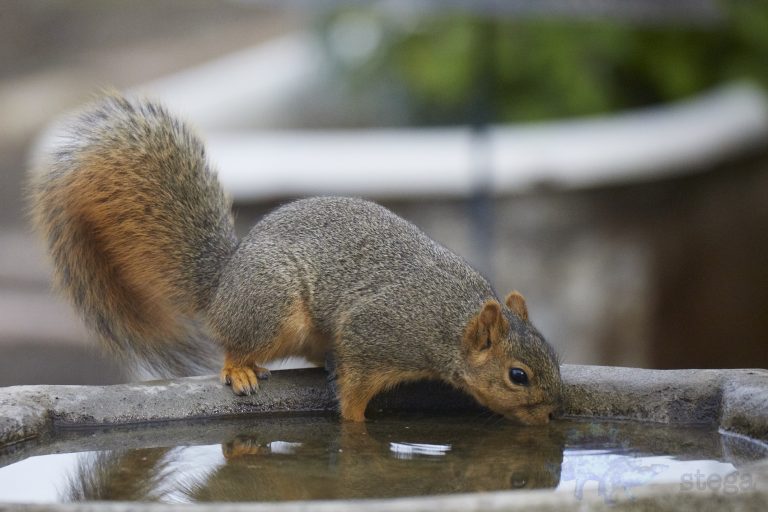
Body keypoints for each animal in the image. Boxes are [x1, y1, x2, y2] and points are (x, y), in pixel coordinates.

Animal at [29, 94, 562, 424]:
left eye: (555, 355)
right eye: (517, 376)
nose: (555, 412)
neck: (451, 322)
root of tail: (222, 286)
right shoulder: (375, 335)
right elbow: (354, 391)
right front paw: (355, 424)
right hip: (271, 308)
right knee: (234, 343)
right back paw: (240, 370)